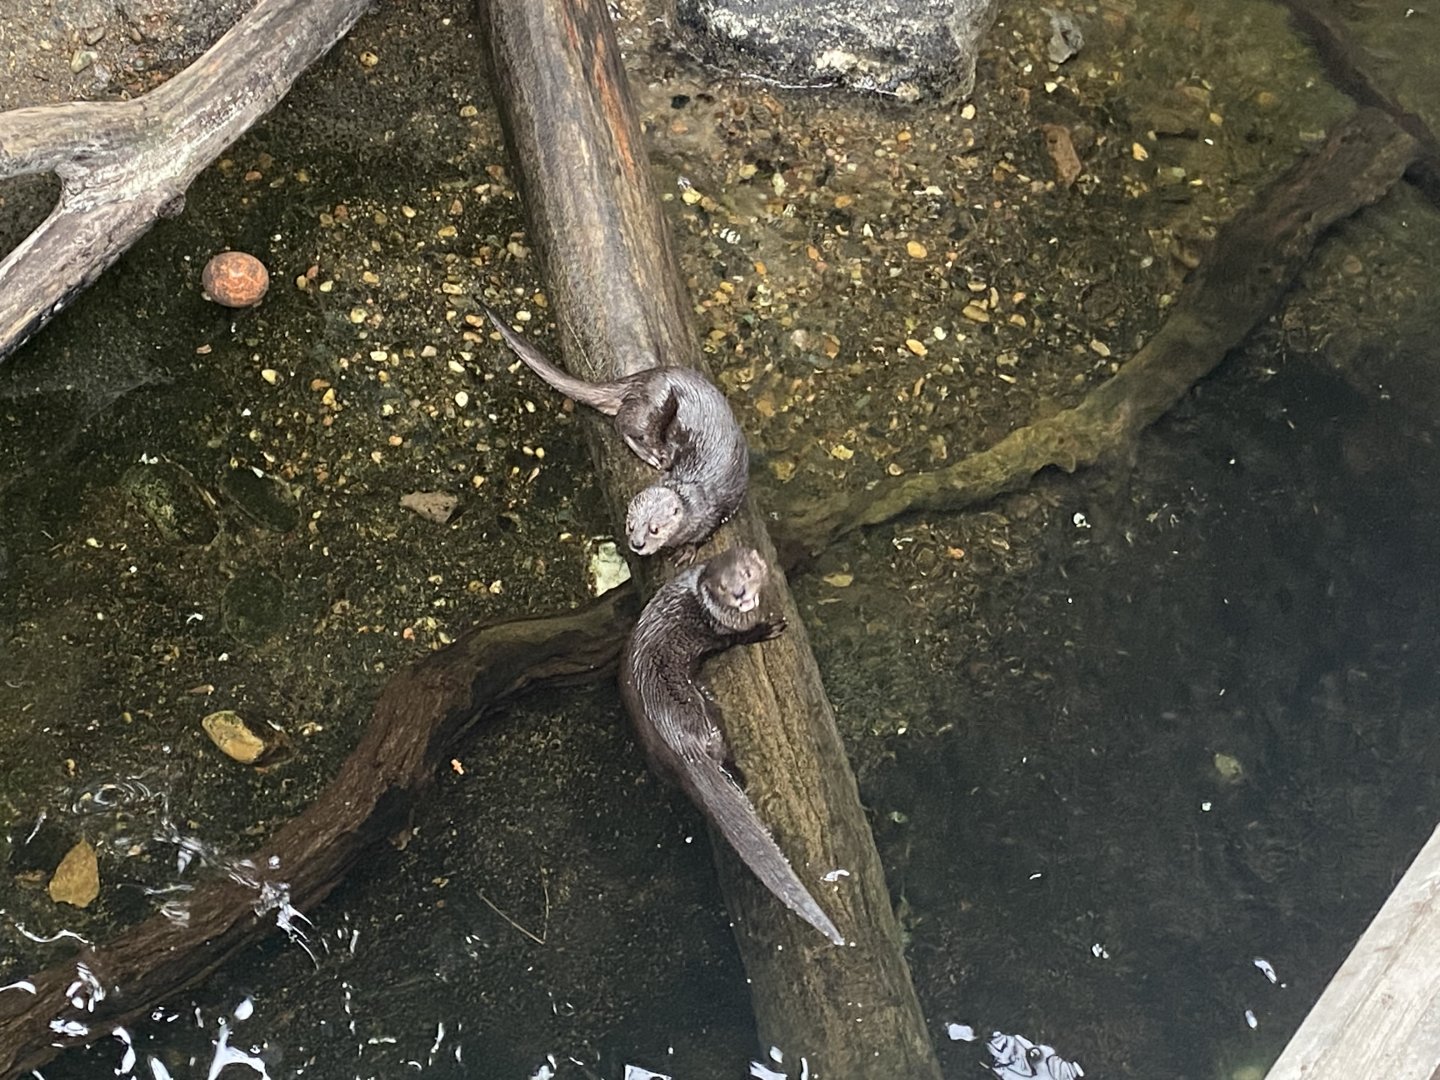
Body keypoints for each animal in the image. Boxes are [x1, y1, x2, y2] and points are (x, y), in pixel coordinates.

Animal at [484, 307, 748, 558]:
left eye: (654, 529)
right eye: (630, 525)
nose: (637, 544)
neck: (695, 496)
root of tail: (642, 379)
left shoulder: (713, 512)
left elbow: (706, 533)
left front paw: (687, 550)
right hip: (656, 402)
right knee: (622, 423)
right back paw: (650, 453)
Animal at [619, 545, 844, 946]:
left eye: (747, 574)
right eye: (725, 588)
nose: (741, 594)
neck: (705, 604)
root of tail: (679, 745)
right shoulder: (721, 631)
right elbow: (736, 639)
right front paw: (767, 628)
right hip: (706, 717)